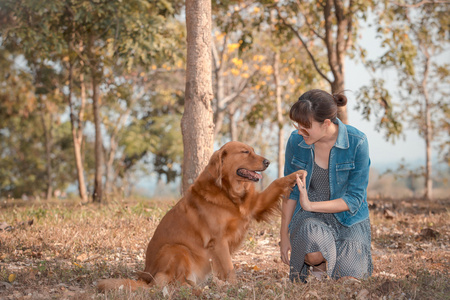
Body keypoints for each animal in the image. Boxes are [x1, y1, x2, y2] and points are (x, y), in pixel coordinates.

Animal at [96, 142, 304, 292]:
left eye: (252, 150)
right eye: (245, 152)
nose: (268, 162)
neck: (228, 192)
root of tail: (146, 276)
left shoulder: (256, 205)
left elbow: (276, 183)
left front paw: (297, 174)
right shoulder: (218, 241)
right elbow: (229, 267)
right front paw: (234, 286)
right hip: (177, 249)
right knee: (169, 283)